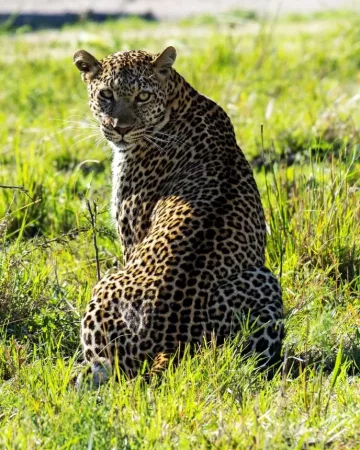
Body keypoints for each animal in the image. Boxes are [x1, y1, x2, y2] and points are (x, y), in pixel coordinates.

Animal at [73, 44, 284, 384]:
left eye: (143, 96)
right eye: (106, 94)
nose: (121, 129)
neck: (177, 100)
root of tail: (169, 344)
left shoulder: (130, 236)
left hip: (105, 287)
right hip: (264, 281)